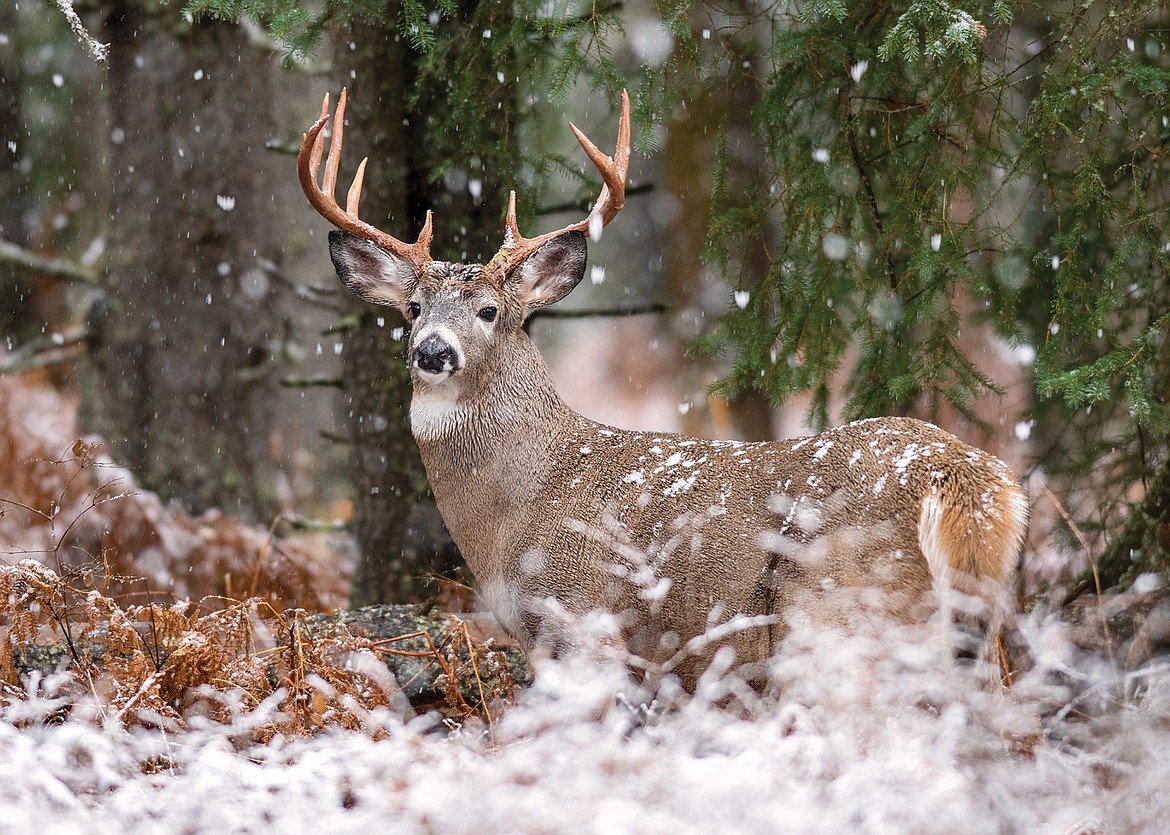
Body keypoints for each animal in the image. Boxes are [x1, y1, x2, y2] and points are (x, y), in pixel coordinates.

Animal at [297, 89, 1029, 687]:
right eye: (413, 308)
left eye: (490, 311)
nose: (432, 350)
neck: (513, 513)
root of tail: (968, 477)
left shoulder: (584, 615)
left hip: (844, 605)